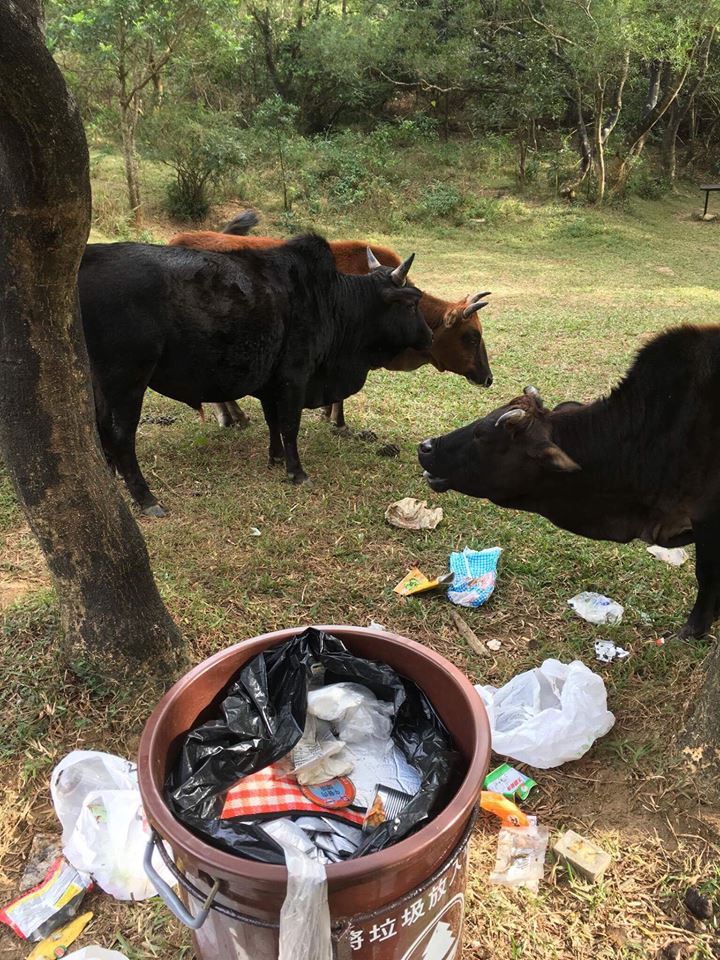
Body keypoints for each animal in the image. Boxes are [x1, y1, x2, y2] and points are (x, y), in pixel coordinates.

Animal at [80, 233, 428, 516]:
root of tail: (87, 261)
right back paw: (146, 498)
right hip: (127, 380)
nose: (428, 337)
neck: (330, 301)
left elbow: (273, 422)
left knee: (100, 429)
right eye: (411, 304)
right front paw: (296, 472)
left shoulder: (270, 382)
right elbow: (289, 425)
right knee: (121, 436)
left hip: (101, 381)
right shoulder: (294, 377)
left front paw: (276, 458)